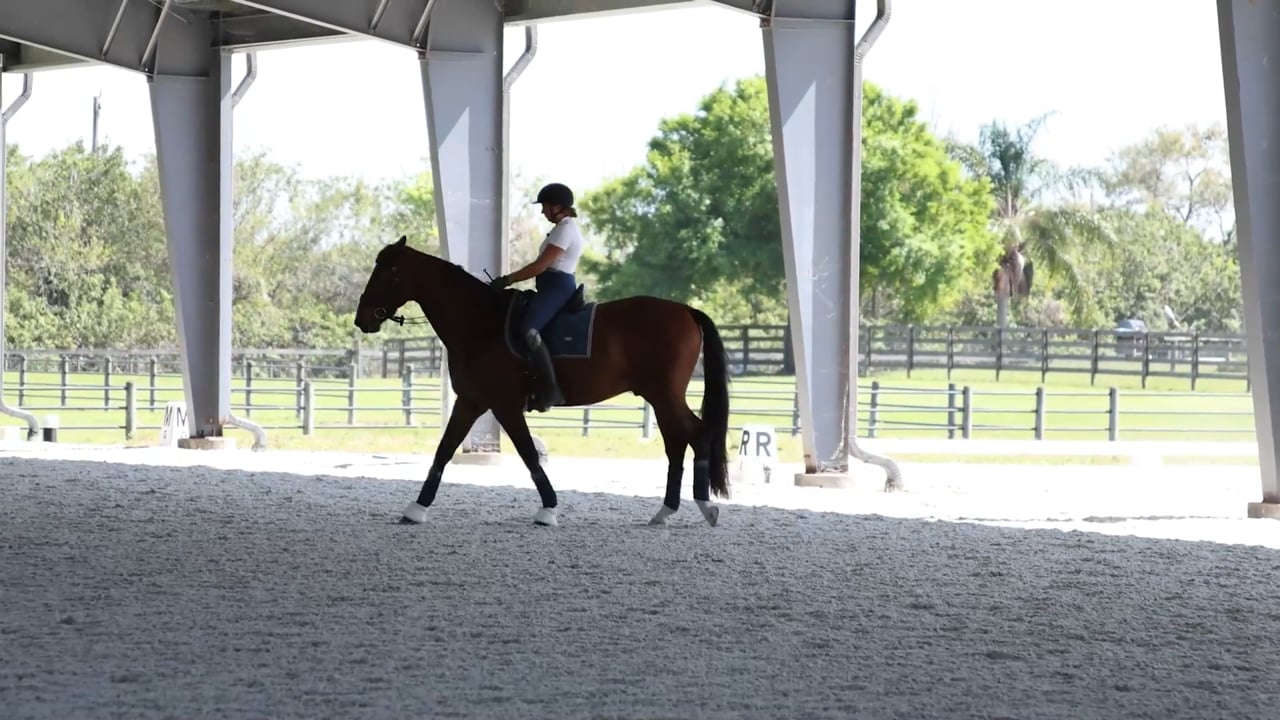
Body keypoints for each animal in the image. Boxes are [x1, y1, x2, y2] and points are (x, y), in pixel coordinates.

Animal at [353, 236, 732, 528]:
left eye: (387, 273)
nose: (362, 319)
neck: (480, 322)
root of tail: (685, 311)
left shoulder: (503, 405)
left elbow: (528, 454)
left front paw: (548, 510)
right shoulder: (472, 401)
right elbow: (444, 450)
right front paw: (416, 508)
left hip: (665, 395)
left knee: (696, 435)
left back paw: (704, 507)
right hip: (659, 397)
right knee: (677, 443)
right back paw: (665, 511)